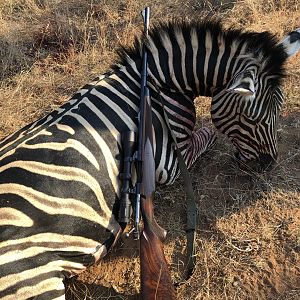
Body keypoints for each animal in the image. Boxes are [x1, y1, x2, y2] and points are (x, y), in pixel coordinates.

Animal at [0, 19, 300, 298]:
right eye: (252, 119)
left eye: (279, 110)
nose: (268, 165)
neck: (160, 86)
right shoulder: (173, 161)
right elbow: (207, 134)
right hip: (35, 282)